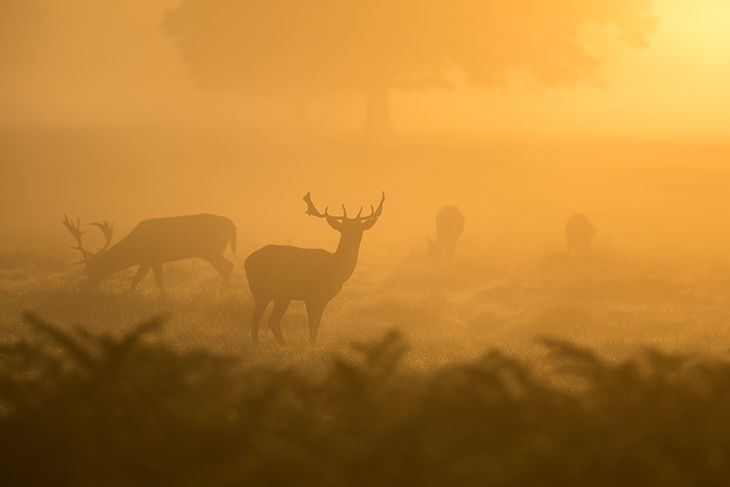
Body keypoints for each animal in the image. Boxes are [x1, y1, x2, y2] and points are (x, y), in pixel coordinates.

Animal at [61, 214, 236, 298]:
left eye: (92, 268)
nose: (87, 288)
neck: (135, 250)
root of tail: (232, 224)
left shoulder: (154, 258)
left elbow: (157, 280)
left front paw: (163, 299)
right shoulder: (147, 261)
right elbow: (137, 279)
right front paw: (130, 293)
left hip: (211, 251)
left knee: (228, 266)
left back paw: (222, 293)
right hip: (212, 251)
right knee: (228, 266)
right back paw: (224, 292)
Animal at [245, 193, 384, 346]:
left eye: (360, 228)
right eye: (343, 228)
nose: (353, 239)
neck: (335, 269)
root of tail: (247, 262)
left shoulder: (322, 299)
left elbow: (316, 324)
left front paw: (313, 343)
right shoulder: (312, 295)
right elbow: (313, 324)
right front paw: (312, 344)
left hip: (273, 294)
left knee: (262, 319)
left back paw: (267, 344)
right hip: (272, 292)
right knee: (267, 319)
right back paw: (278, 344)